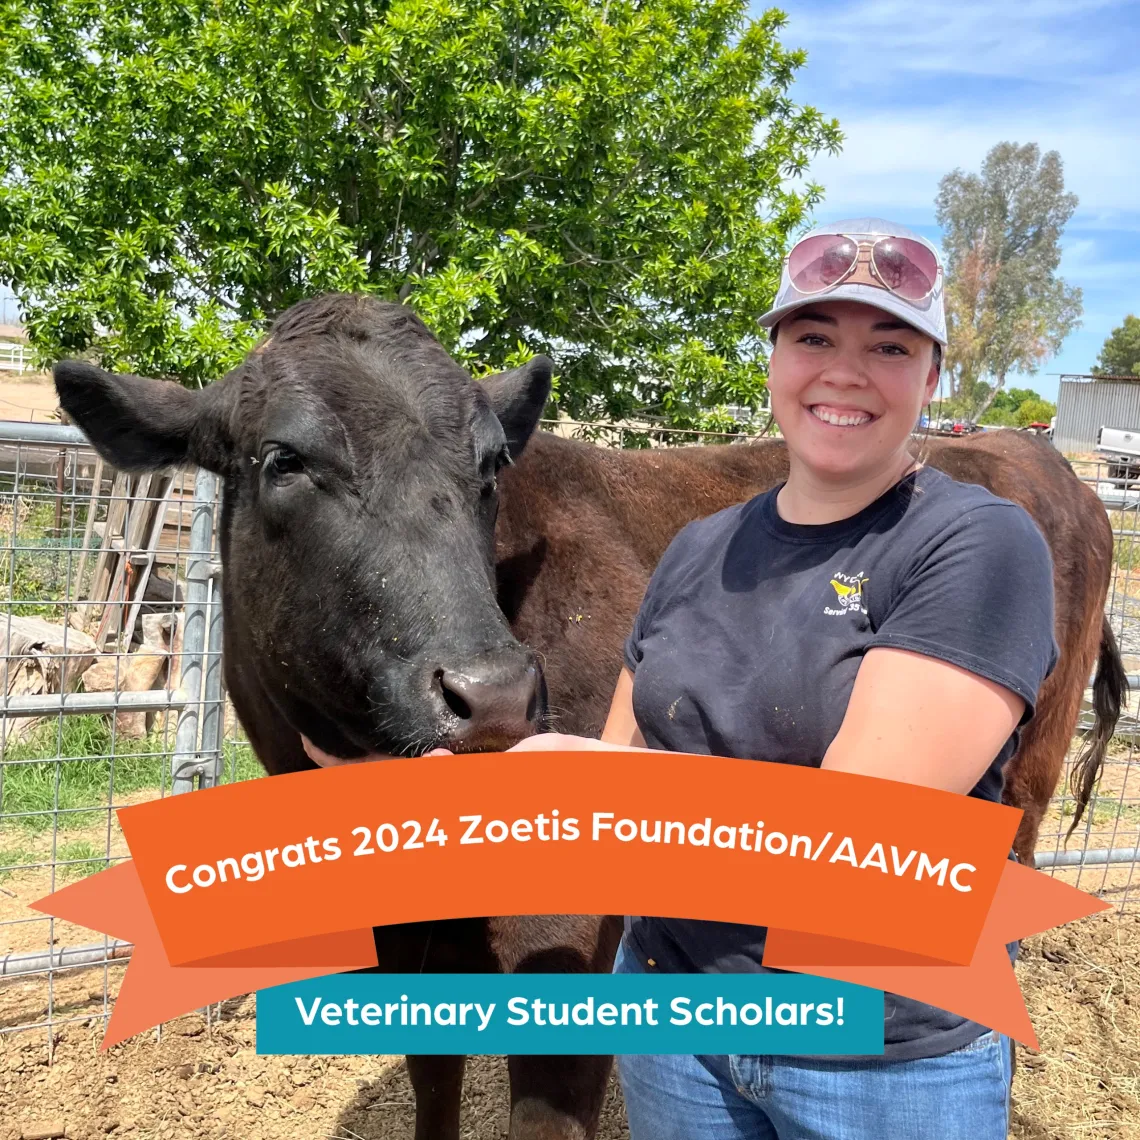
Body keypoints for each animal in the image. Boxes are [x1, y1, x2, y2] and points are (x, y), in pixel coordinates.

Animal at [53, 296, 1121, 1140]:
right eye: (283, 458)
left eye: (489, 464)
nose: (490, 693)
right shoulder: (407, 951)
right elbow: (433, 1095)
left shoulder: (568, 942)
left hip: (1023, 792)